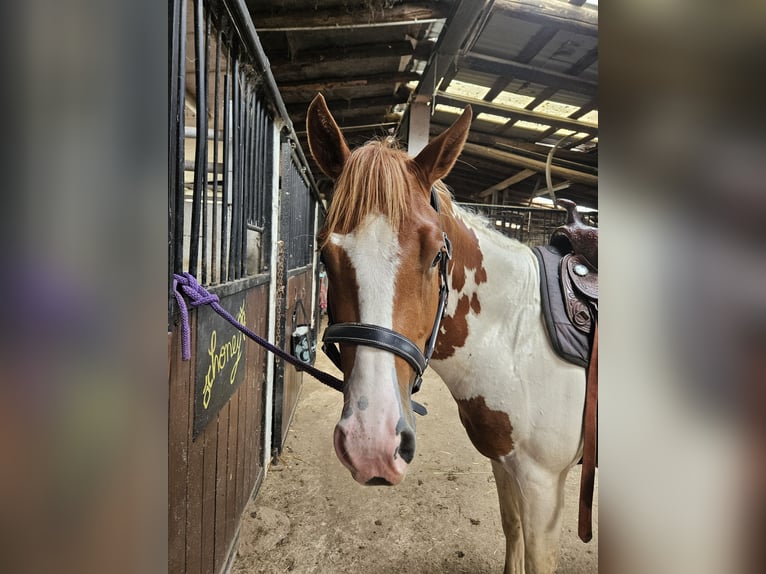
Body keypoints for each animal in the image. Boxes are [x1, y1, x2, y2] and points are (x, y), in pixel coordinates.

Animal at [306, 95, 588, 574]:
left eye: (438, 253)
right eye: (325, 254)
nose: (371, 443)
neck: (518, 338)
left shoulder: (544, 485)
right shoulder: (506, 464)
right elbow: (510, 529)